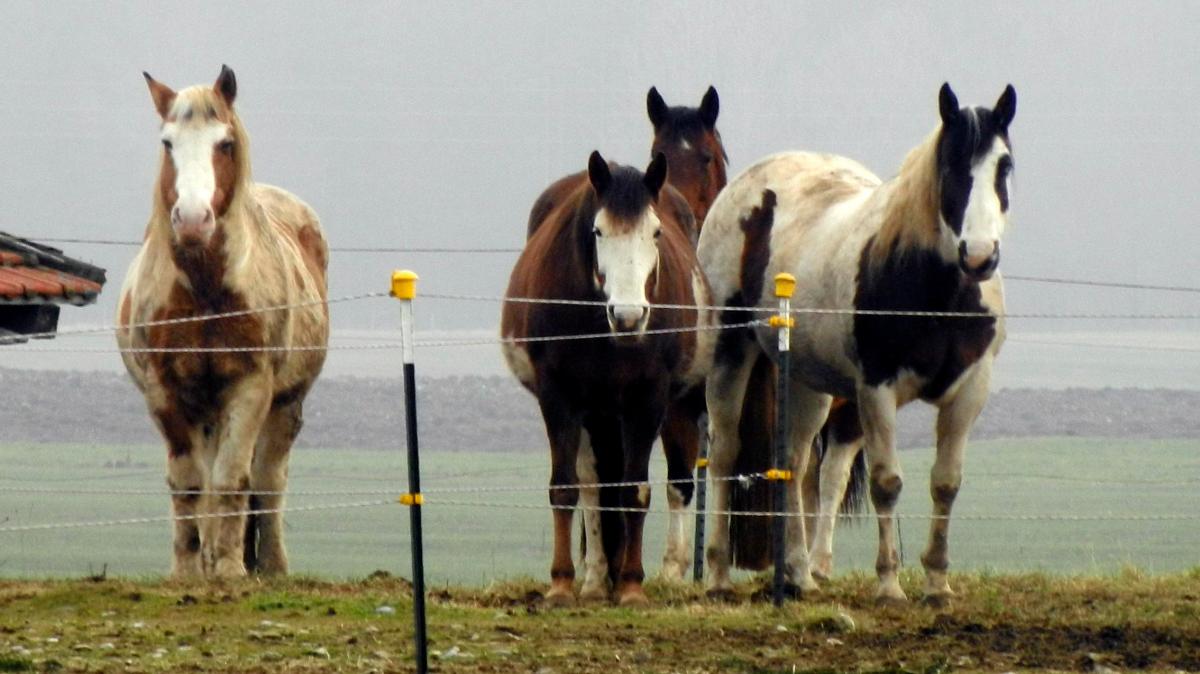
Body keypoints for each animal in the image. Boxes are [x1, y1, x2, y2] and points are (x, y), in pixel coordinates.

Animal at [116, 66, 329, 578]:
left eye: (225, 143)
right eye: (167, 142)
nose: (194, 220)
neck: (207, 292)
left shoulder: (251, 388)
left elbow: (233, 478)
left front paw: (232, 568)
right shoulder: (165, 393)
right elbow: (190, 483)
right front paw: (189, 569)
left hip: (284, 405)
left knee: (269, 480)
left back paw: (270, 566)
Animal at [502, 151, 714, 605]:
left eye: (655, 232)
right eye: (598, 231)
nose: (629, 316)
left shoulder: (647, 400)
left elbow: (635, 491)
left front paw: (632, 585)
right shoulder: (559, 397)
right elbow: (566, 488)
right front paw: (562, 584)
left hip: (672, 407)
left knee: (678, 482)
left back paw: (668, 571)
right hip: (594, 416)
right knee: (592, 488)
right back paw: (597, 578)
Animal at [697, 82, 1015, 604]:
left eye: (1003, 165)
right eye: (950, 164)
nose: (980, 256)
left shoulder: (970, 390)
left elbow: (945, 484)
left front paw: (937, 583)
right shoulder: (876, 391)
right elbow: (887, 484)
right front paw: (889, 584)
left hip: (809, 382)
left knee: (795, 460)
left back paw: (800, 573)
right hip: (731, 351)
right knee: (724, 451)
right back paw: (720, 575)